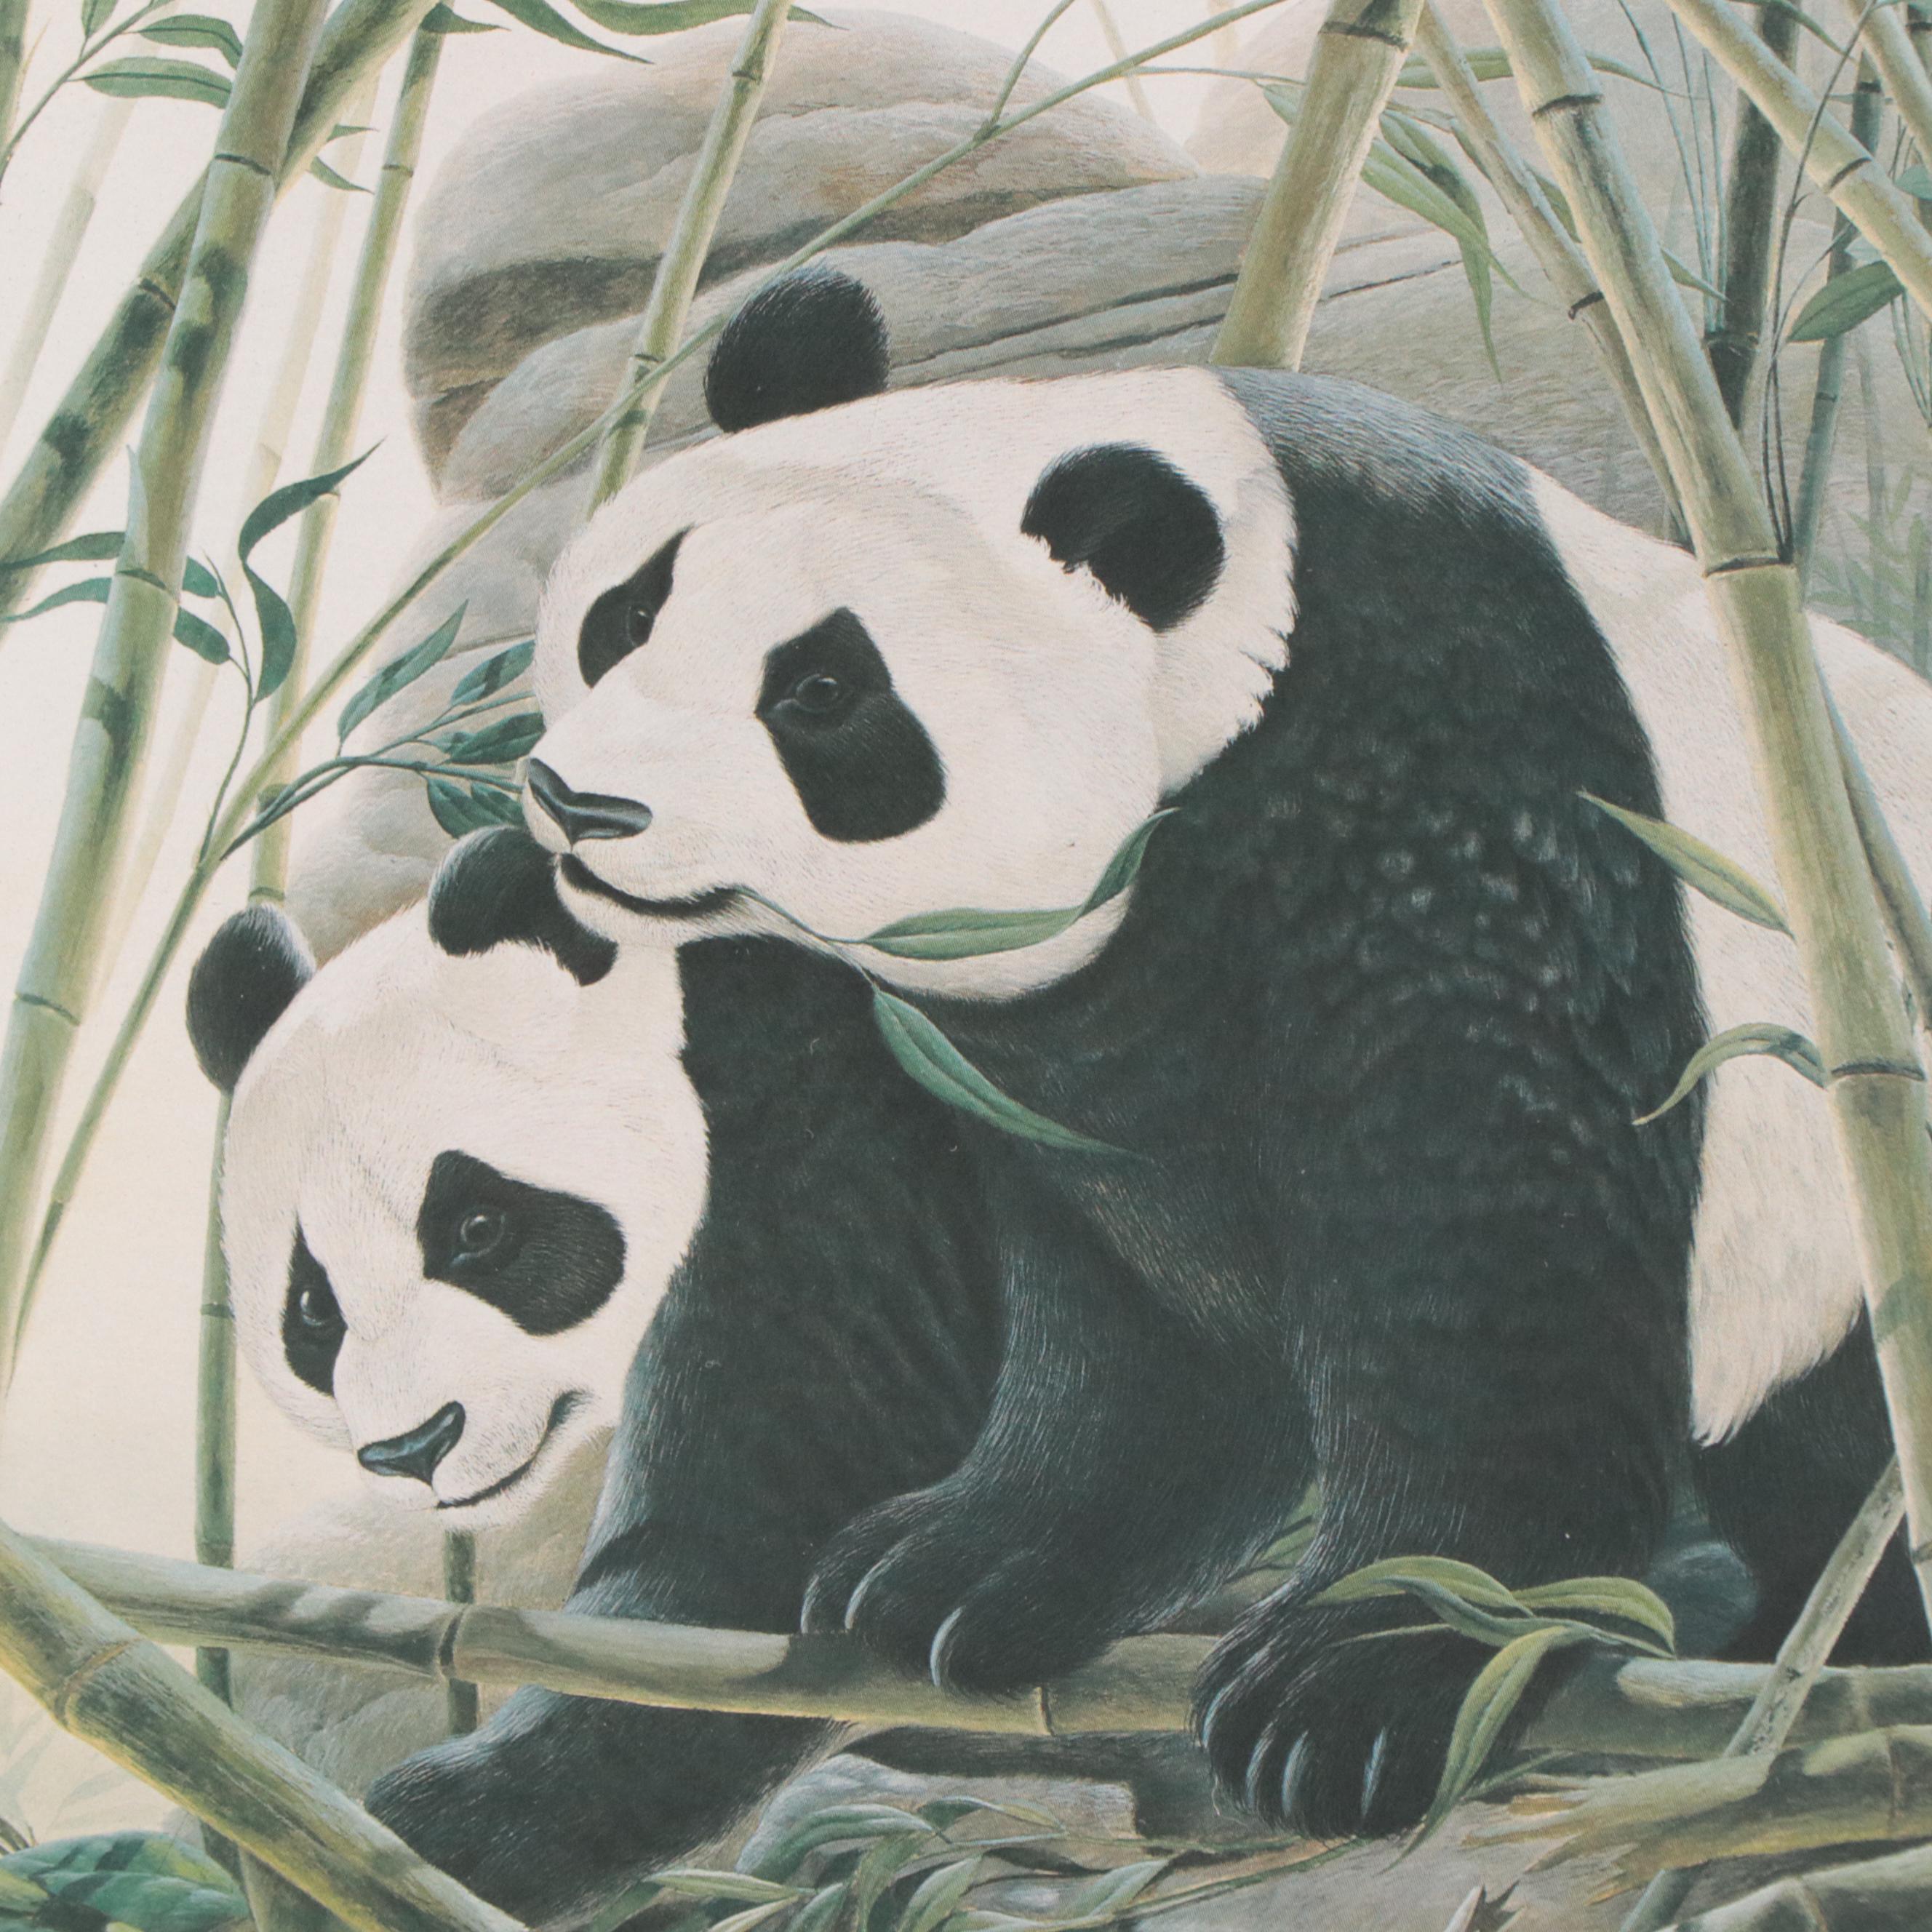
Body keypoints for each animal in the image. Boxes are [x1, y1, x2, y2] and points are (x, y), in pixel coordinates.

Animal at [187, 829, 1003, 1923]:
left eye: (477, 1228)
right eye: (312, 1308)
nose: (417, 1446)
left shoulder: (827, 1125)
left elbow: (775, 1521)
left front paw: (456, 1819)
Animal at [489, 267, 1932, 1856]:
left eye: (818, 691)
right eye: (630, 612)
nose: (581, 805)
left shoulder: (1470, 789)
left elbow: (1497, 1236)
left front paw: (1355, 1676)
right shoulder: (966, 1018)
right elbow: (1045, 1318)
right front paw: (949, 1569)